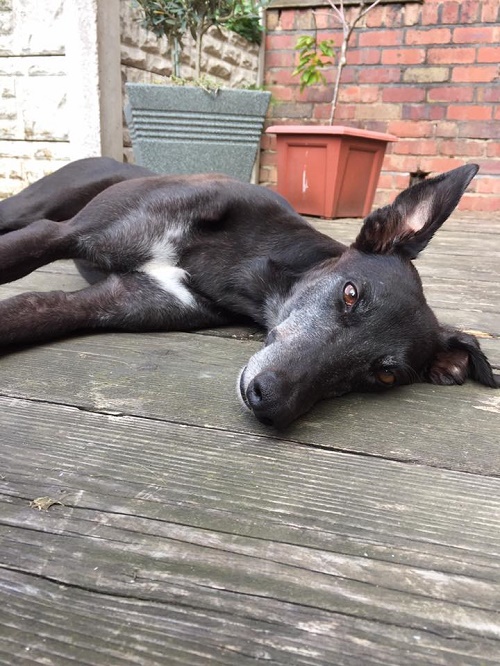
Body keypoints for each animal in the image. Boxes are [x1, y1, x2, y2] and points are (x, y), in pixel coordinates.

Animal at [0, 156, 496, 428]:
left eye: (385, 375)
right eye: (351, 294)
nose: (271, 402)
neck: (237, 267)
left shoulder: (110, 301)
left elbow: (29, 313)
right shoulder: (61, 234)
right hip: (32, 209)